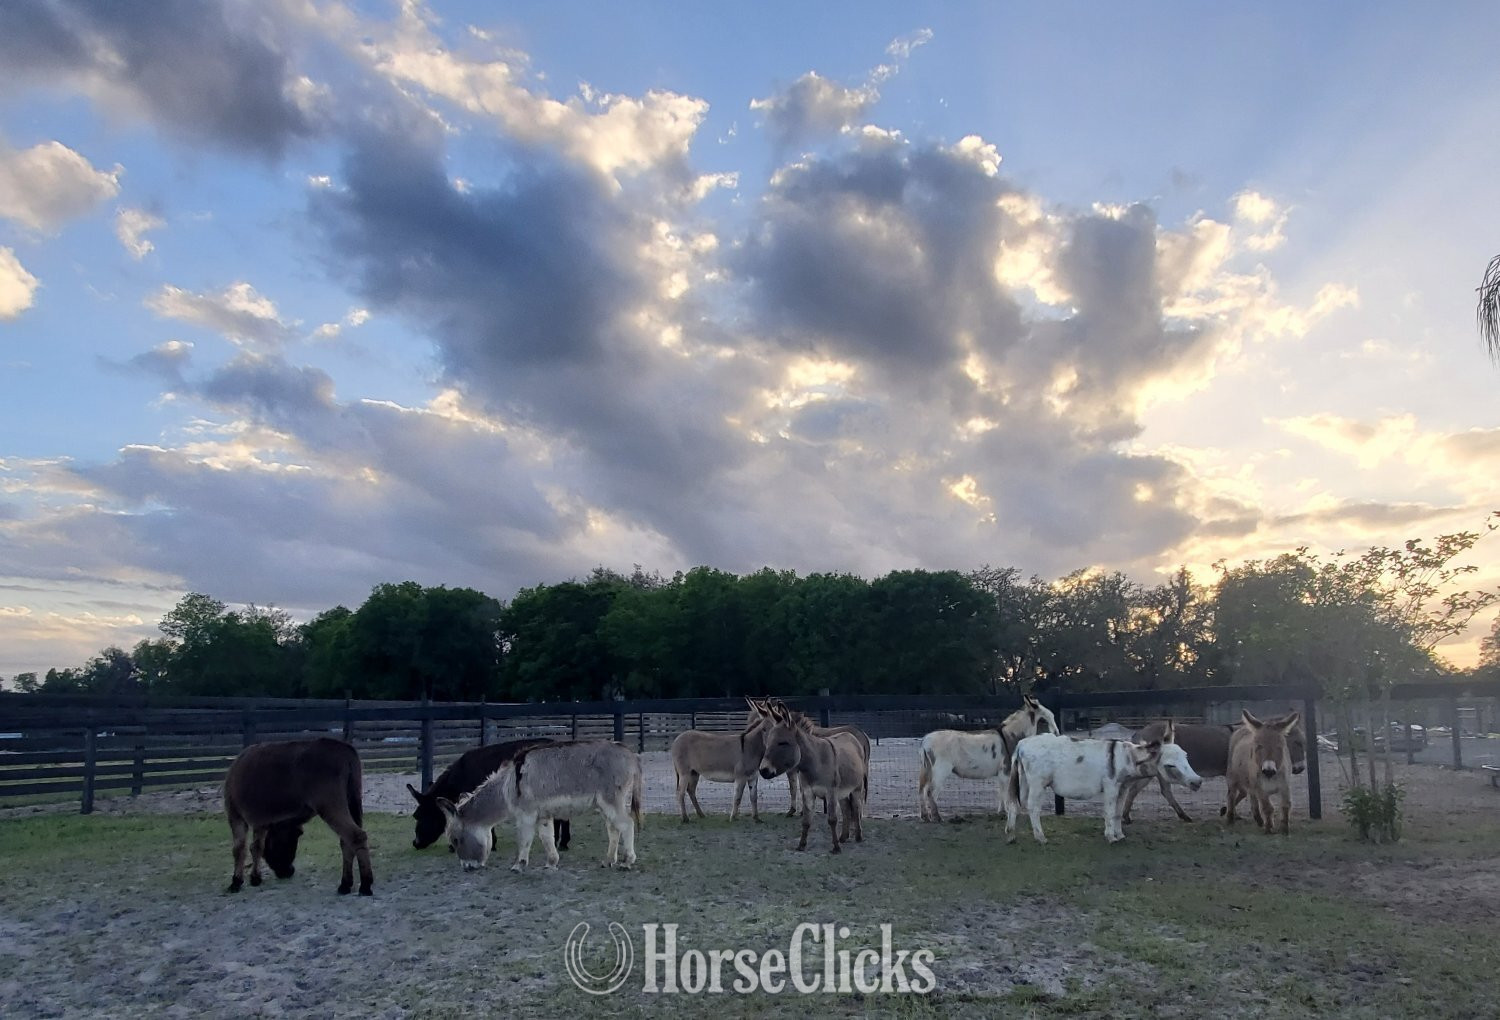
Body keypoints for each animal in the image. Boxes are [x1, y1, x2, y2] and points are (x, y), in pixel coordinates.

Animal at [223, 737, 373, 896]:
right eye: (296, 834)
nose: (289, 871)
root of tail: (345, 749)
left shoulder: (235, 815)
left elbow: (239, 849)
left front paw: (236, 881)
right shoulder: (261, 821)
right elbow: (256, 847)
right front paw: (255, 877)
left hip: (330, 805)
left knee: (356, 836)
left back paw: (365, 884)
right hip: (351, 800)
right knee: (346, 841)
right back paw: (345, 884)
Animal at [438, 741, 643, 872]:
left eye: (455, 840)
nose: (467, 868)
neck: (507, 786)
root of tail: (630, 754)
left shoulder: (526, 815)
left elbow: (524, 839)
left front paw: (518, 865)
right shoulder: (543, 815)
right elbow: (546, 837)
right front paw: (551, 863)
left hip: (611, 799)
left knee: (627, 824)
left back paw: (627, 862)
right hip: (604, 804)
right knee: (614, 829)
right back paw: (608, 861)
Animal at [918, 695, 1058, 822]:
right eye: (1044, 721)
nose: (1056, 733)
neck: (1010, 736)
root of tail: (925, 740)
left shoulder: (1002, 774)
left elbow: (1001, 792)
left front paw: (1001, 812)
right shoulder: (1005, 772)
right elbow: (1005, 792)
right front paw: (1007, 812)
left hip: (928, 770)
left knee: (922, 791)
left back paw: (925, 817)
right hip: (941, 770)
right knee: (931, 792)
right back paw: (937, 817)